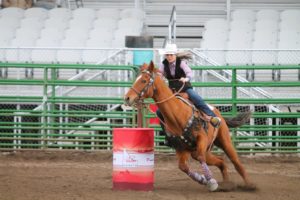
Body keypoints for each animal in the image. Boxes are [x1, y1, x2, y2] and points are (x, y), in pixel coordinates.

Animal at [124, 61, 255, 192]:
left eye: (144, 80)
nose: (127, 98)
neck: (177, 114)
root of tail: (218, 113)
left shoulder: (202, 138)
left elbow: (200, 157)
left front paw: (211, 181)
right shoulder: (181, 148)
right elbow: (183, 166)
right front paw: (203, 179)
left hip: (224, 141)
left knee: (235, 162)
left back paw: (249, 185)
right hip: (207, 150)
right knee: (221, 161)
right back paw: (227, 184)